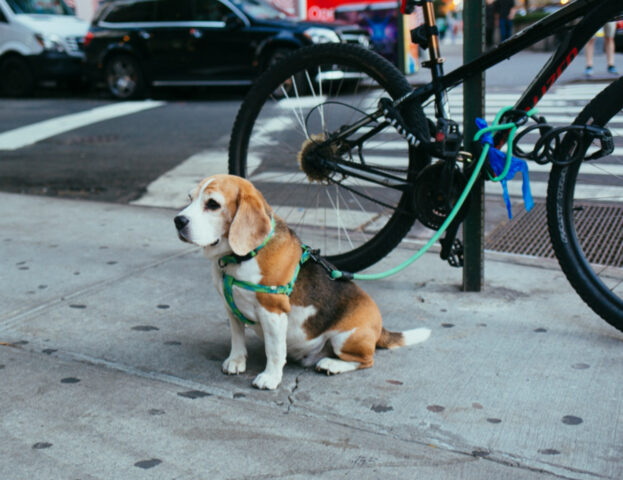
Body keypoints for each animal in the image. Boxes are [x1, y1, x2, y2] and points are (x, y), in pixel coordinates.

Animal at [173, 174, 432, 388]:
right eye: (190, 198)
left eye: (213, 204)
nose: (178, 220)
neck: (240, 258)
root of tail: (380, 328)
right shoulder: (231, 307)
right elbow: (237, 338)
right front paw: (236, 361)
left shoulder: (273, 312)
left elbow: (275, 350)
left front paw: (270, 378)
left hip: (345, 338)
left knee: (367, 360)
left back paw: (332, 364)